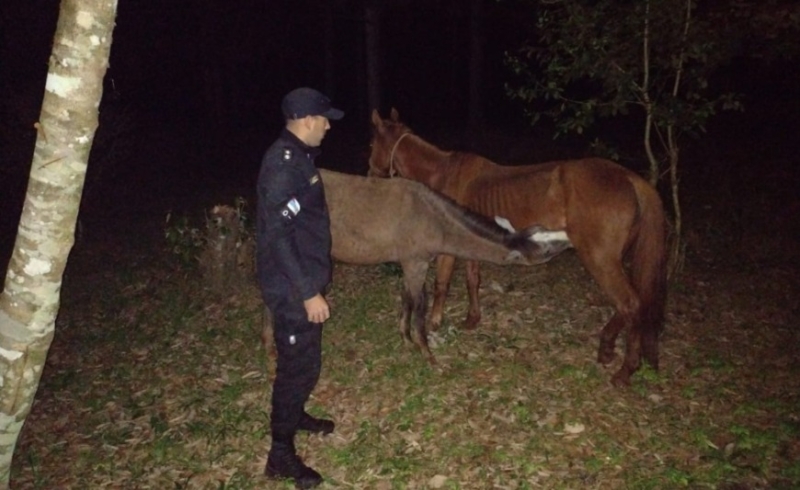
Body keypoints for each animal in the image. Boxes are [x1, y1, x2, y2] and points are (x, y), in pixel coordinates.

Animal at [262, 169, 570, 364]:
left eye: (543, 230)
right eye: (545, 250)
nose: (569, 238)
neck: (435, 221)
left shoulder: (410, 262)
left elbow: (406, 298)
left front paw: (406, 339)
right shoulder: (416, 262)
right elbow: (420, 303)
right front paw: (426, 353)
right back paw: (271, 348)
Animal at [368, 109, 667, 386]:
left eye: (371, 144)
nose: (371, 175)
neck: (442, 173)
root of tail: (630, 178)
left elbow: (442, 283)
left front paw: (434, 322)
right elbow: (472, 280)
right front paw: (472, 319)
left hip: (599, 258)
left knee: (629, 304)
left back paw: (625, 370)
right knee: (634, 304)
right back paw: (607, 349)